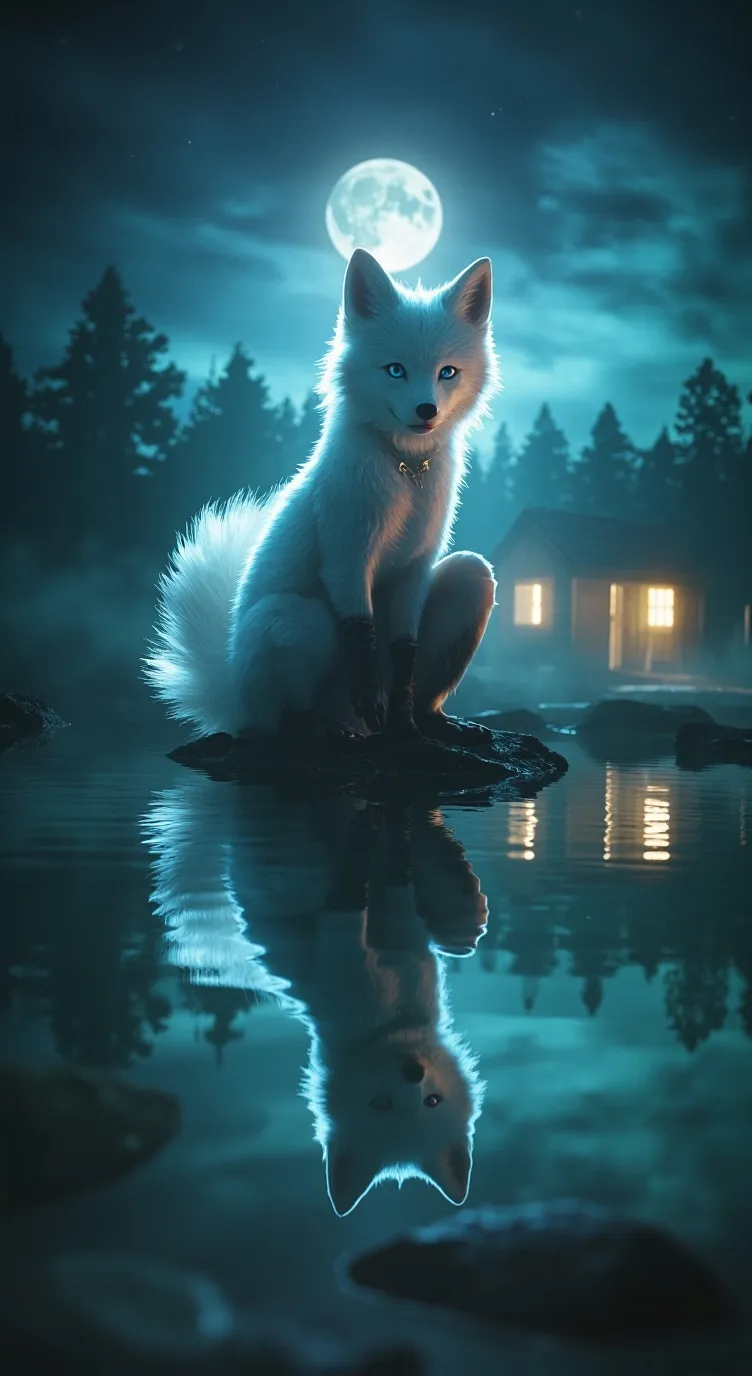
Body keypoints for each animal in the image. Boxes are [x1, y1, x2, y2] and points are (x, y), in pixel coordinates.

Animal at [142, 778, 487, 1216]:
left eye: (433, 1102)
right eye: (380, 1103)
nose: (413, 1071)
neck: (391, 1017)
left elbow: (412, 899)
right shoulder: (338, 947)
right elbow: (353, 910)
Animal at [144, 247, 501, 743]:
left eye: (447, 372)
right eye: (395, 370)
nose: (426, 411)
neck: (405, 475)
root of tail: (230, 699)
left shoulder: (417, 568)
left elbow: (404, 652)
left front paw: (405, 728)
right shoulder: (347, 556)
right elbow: (361, 635)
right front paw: (376, 701)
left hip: (473, 576)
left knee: (427, 684)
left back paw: (436, 723)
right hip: (294, 620)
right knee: (281, 721)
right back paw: (319, 727)